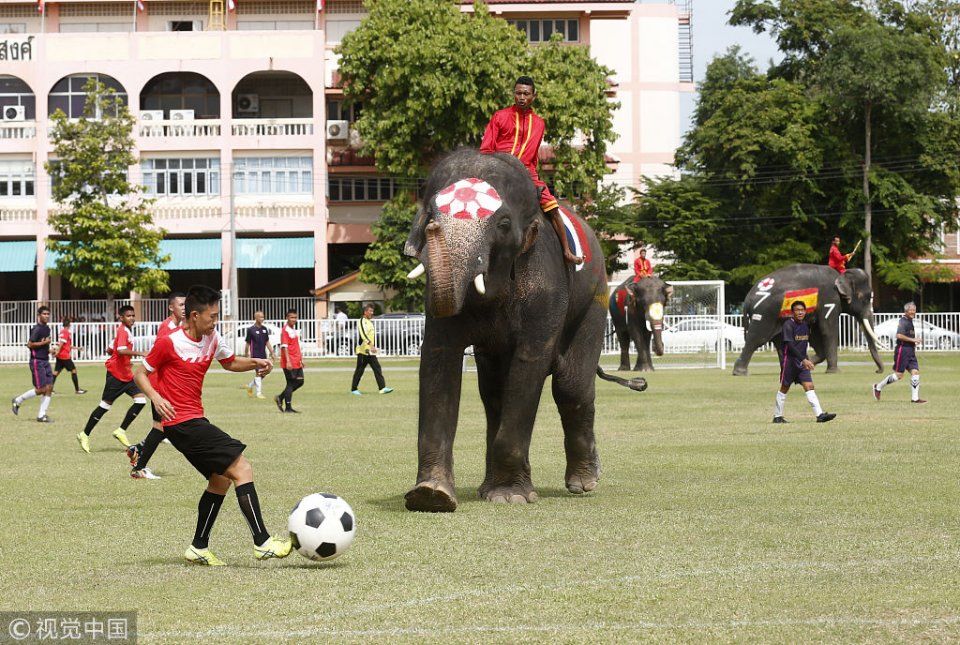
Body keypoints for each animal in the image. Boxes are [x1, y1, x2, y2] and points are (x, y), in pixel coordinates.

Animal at [402, 147, 640, 512]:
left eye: (502, 225)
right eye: (430, 214)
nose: (430, 228)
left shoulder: (545, 286)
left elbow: (529, 364)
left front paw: (510, 497)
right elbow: (438, 358)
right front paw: (430, 496)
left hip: (596, 296)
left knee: (571, 386)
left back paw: (584, 482)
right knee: (493, 392)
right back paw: (486, 488)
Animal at [736, 262, 884, 374]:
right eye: (865, 298)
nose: (877, 371)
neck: (840, 276)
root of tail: (747, 299)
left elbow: (815, 333)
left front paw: (806, 363)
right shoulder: (829, 300)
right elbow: (828, 330)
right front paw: (834, 372)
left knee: (779, 341)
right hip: (765, 313)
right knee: (757, 338)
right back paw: (740, 372)